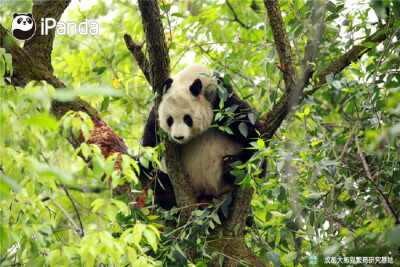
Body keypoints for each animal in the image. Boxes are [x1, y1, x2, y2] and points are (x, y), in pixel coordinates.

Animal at [141, 64, 262, 205]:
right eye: (170, 120)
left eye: (187, 119)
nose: (178, 137)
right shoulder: (156, 112)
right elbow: (151, 142)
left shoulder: (223, 99)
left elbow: (253, 134)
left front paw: (233, 165)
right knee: (158, 180)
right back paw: (164, 190)